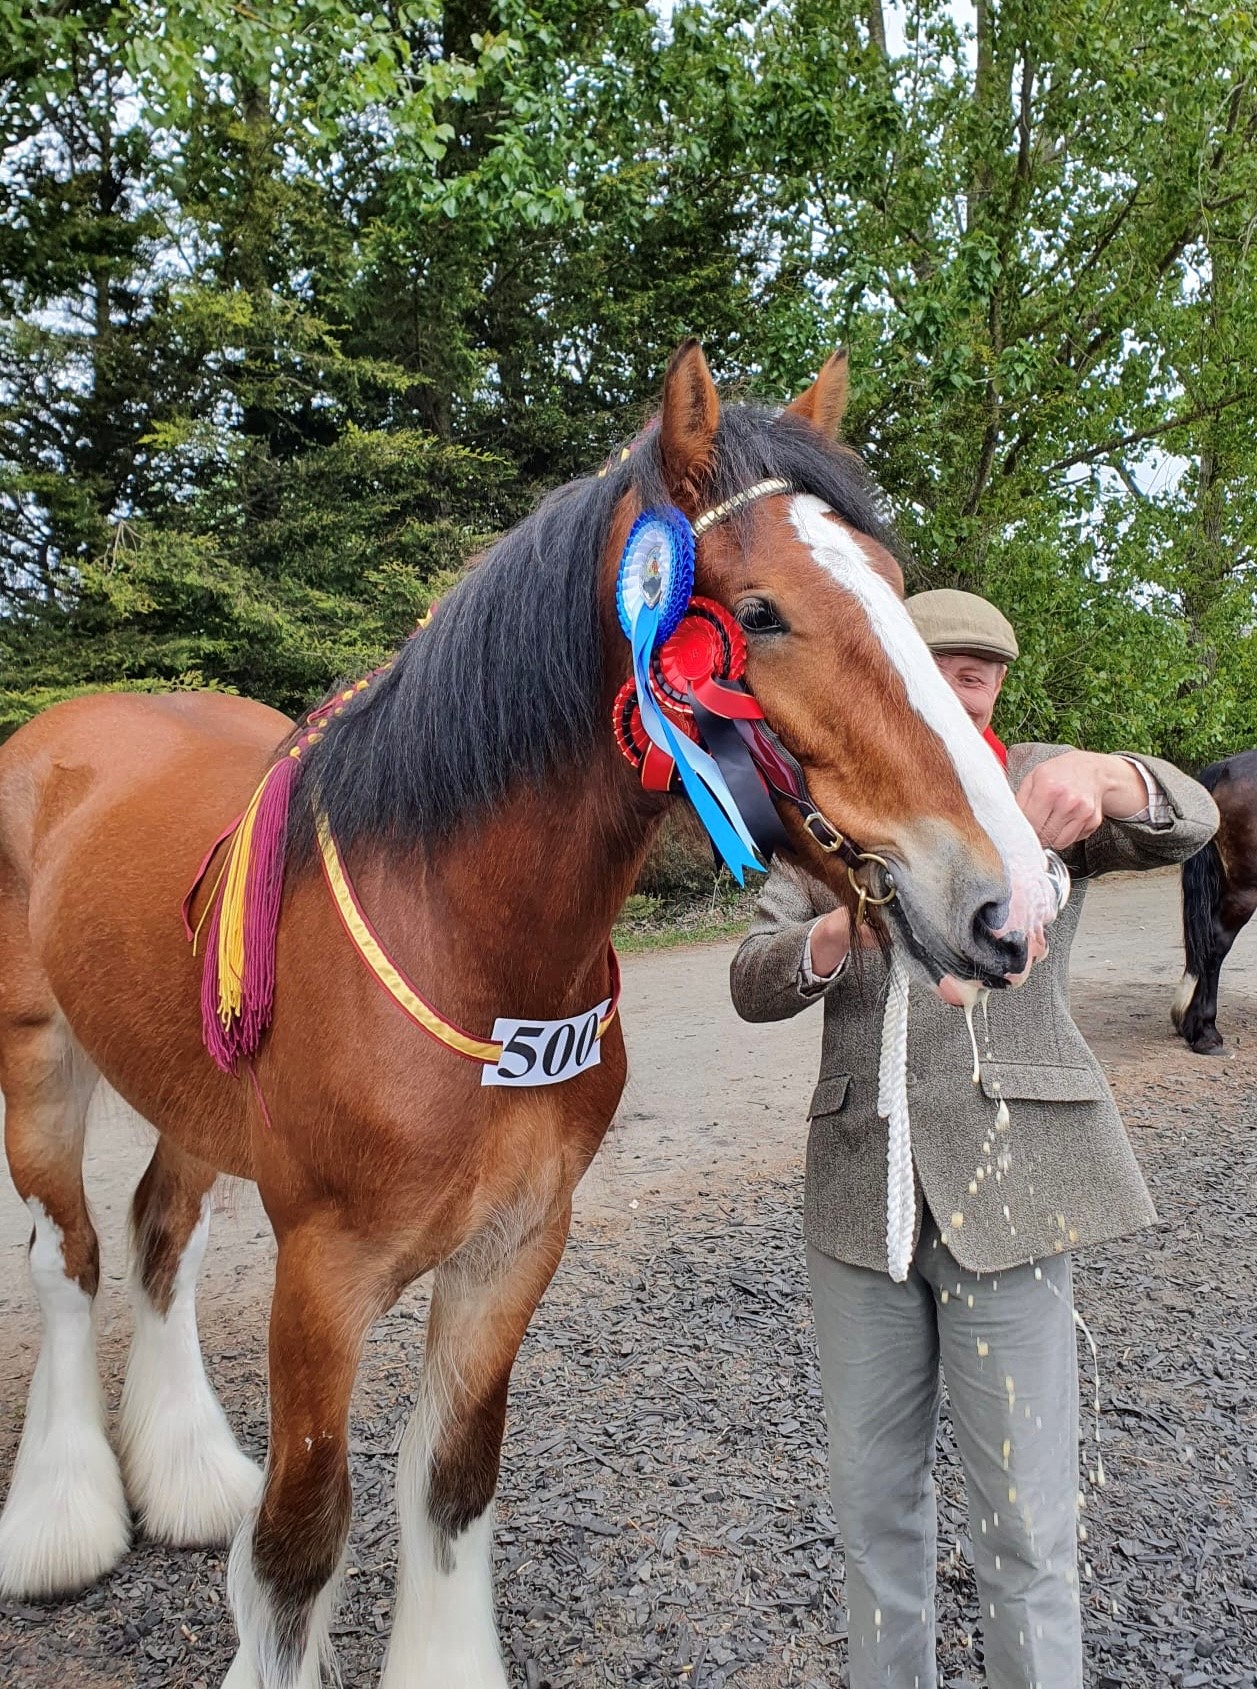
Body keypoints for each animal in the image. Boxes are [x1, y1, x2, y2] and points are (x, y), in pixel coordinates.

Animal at [0, 336, 1061, 1682]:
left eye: (889, 582)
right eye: (760, 615)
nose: (1011, 899)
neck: (466, 941)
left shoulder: (515, 1247)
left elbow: (452, 1483)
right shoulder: (322, 1273)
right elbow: (301, 1538)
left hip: (190, 1087)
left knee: (157, 1237)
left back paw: (186, 1478)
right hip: (41, 1064)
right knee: (69, 1259)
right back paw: (61, 1518)